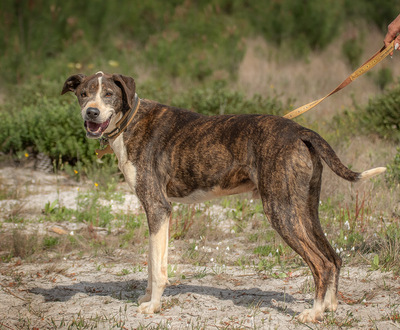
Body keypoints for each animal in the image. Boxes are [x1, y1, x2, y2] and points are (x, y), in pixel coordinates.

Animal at [61, 72, 384, 322]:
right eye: (83, 94)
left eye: (109, 94)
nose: (91, 112)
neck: (130, 120)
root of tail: (301, 130)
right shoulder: (158, 212)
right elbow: (153, 263)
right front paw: (147, 299)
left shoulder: (157, 207)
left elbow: (156, 267)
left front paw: (152, 306)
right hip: (305, 209)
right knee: (334, 257)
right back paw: (329, 307)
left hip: (280, 211)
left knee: (321, 263)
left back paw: (313, 313)